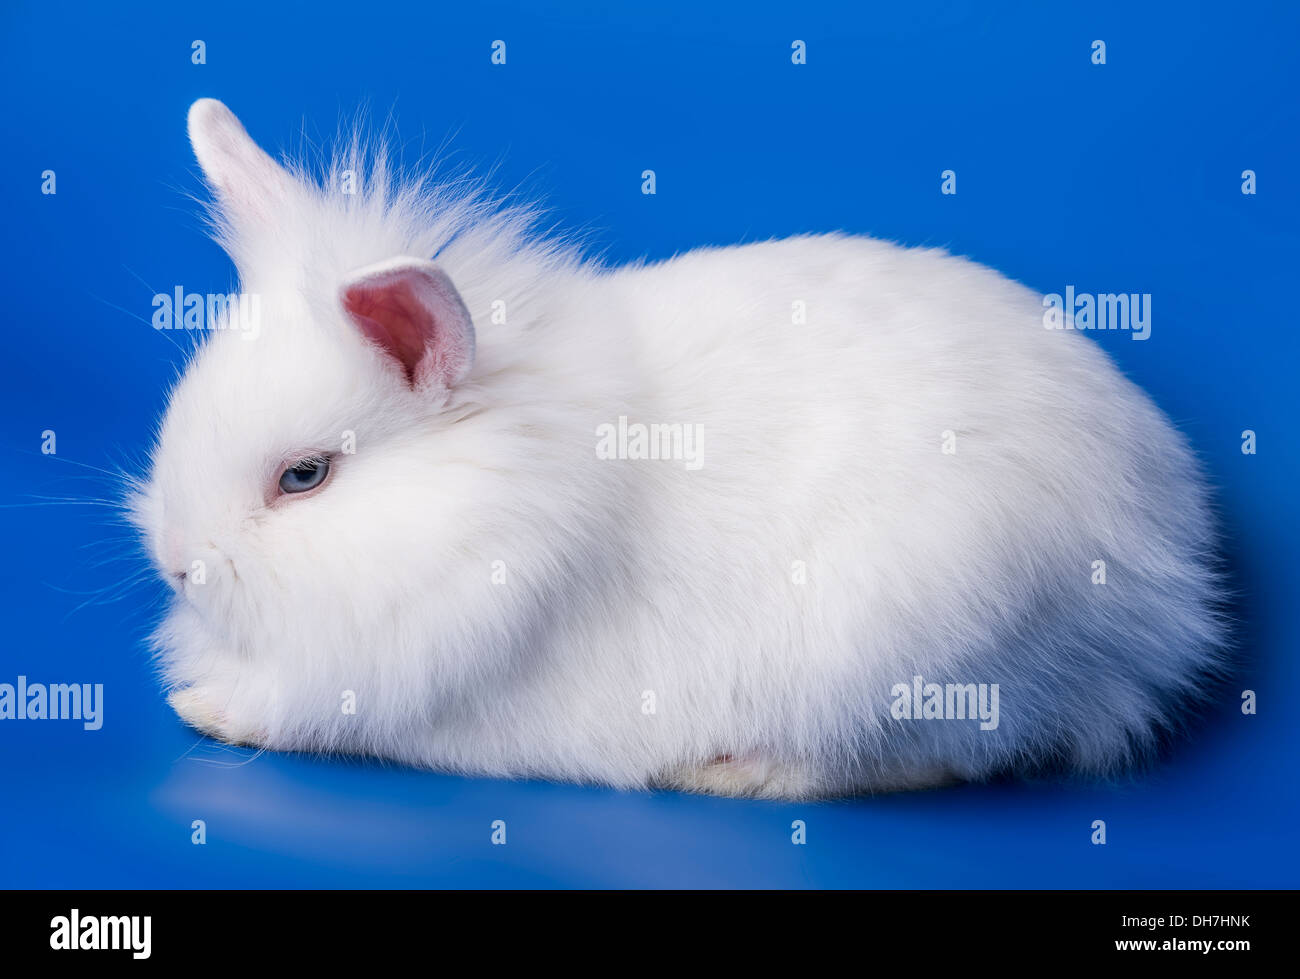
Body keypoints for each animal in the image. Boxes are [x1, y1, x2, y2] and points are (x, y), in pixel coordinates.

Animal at [130, 98, 1226, 800]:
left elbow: (292, 710)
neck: (503, 478)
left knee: (935, 758)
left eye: (304, 477)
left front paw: (200, 706)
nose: (179, 565)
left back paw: (728, 772)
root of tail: (1166, 584)